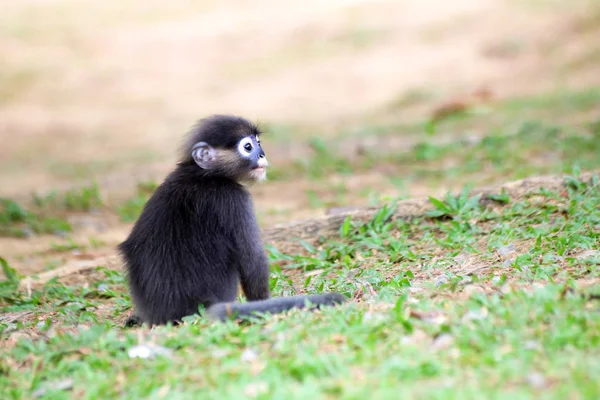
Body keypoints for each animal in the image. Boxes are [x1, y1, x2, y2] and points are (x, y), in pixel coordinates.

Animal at [117, 114, 346, 326]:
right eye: (247, 146)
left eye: (258, 142)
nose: (262, 154)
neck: (204, 175)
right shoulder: (234, 199)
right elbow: (252, 260)